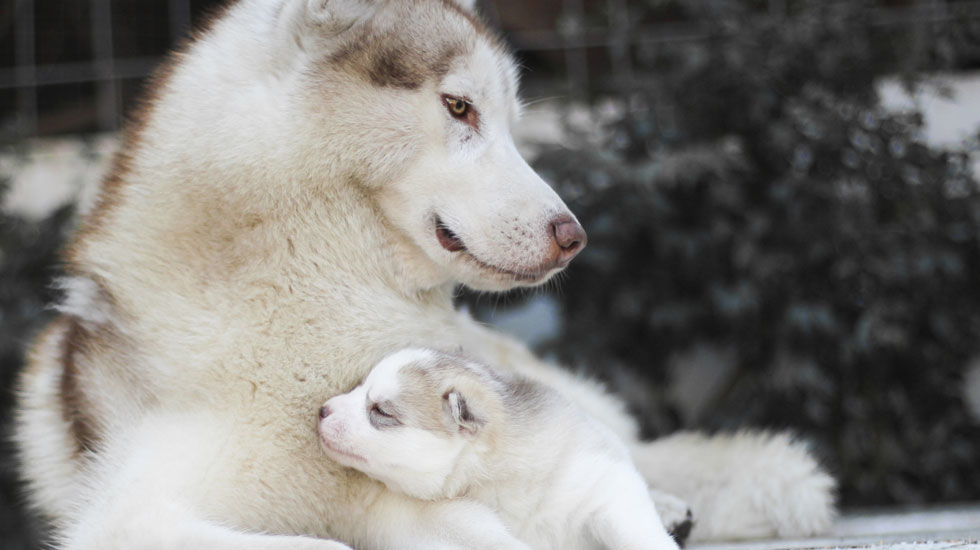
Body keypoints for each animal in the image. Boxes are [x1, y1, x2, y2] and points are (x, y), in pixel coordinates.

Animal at [320, 350, 680, 550]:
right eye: (359, 386)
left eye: (381, 411)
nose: (322, 410)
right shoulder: (457, 523)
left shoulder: (606, 486)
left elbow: (640, 533)